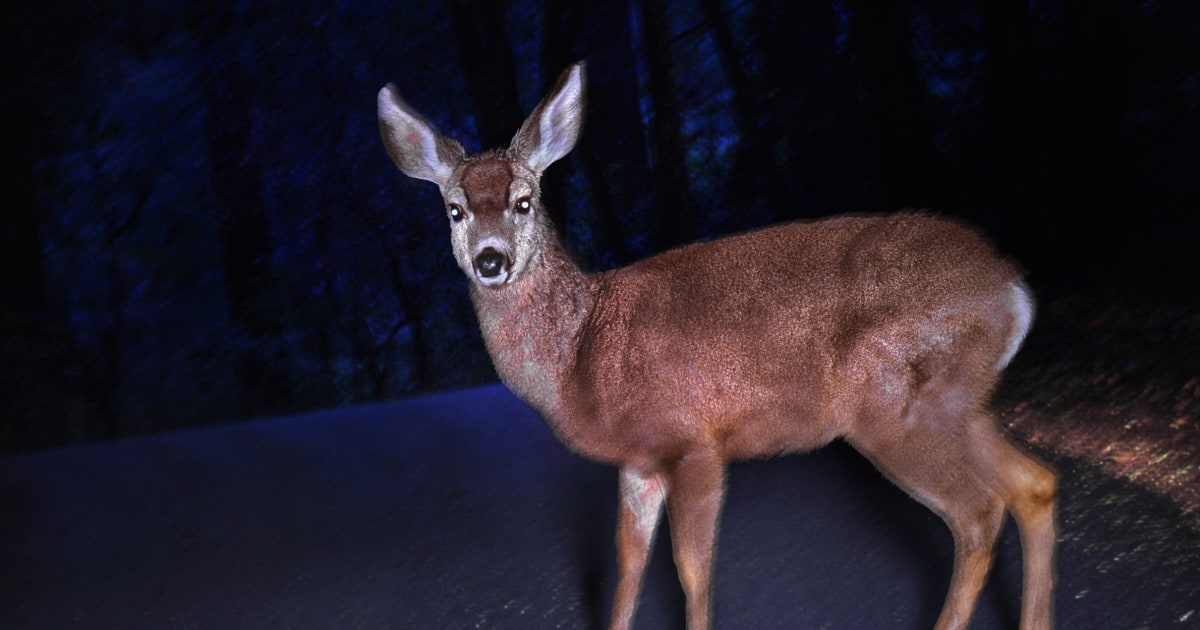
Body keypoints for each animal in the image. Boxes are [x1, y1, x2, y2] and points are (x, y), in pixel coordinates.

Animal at [377, 62, 1057, 630]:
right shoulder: (638, 462)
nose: (490, 260)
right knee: (1033, 484)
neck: (581, 351)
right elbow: (628, 563)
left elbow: (691, 570)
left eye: (524, 201)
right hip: (959, 403)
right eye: (455, 210)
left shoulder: (693, 440)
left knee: (978, 513)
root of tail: (1013, 289)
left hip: (896, 406)